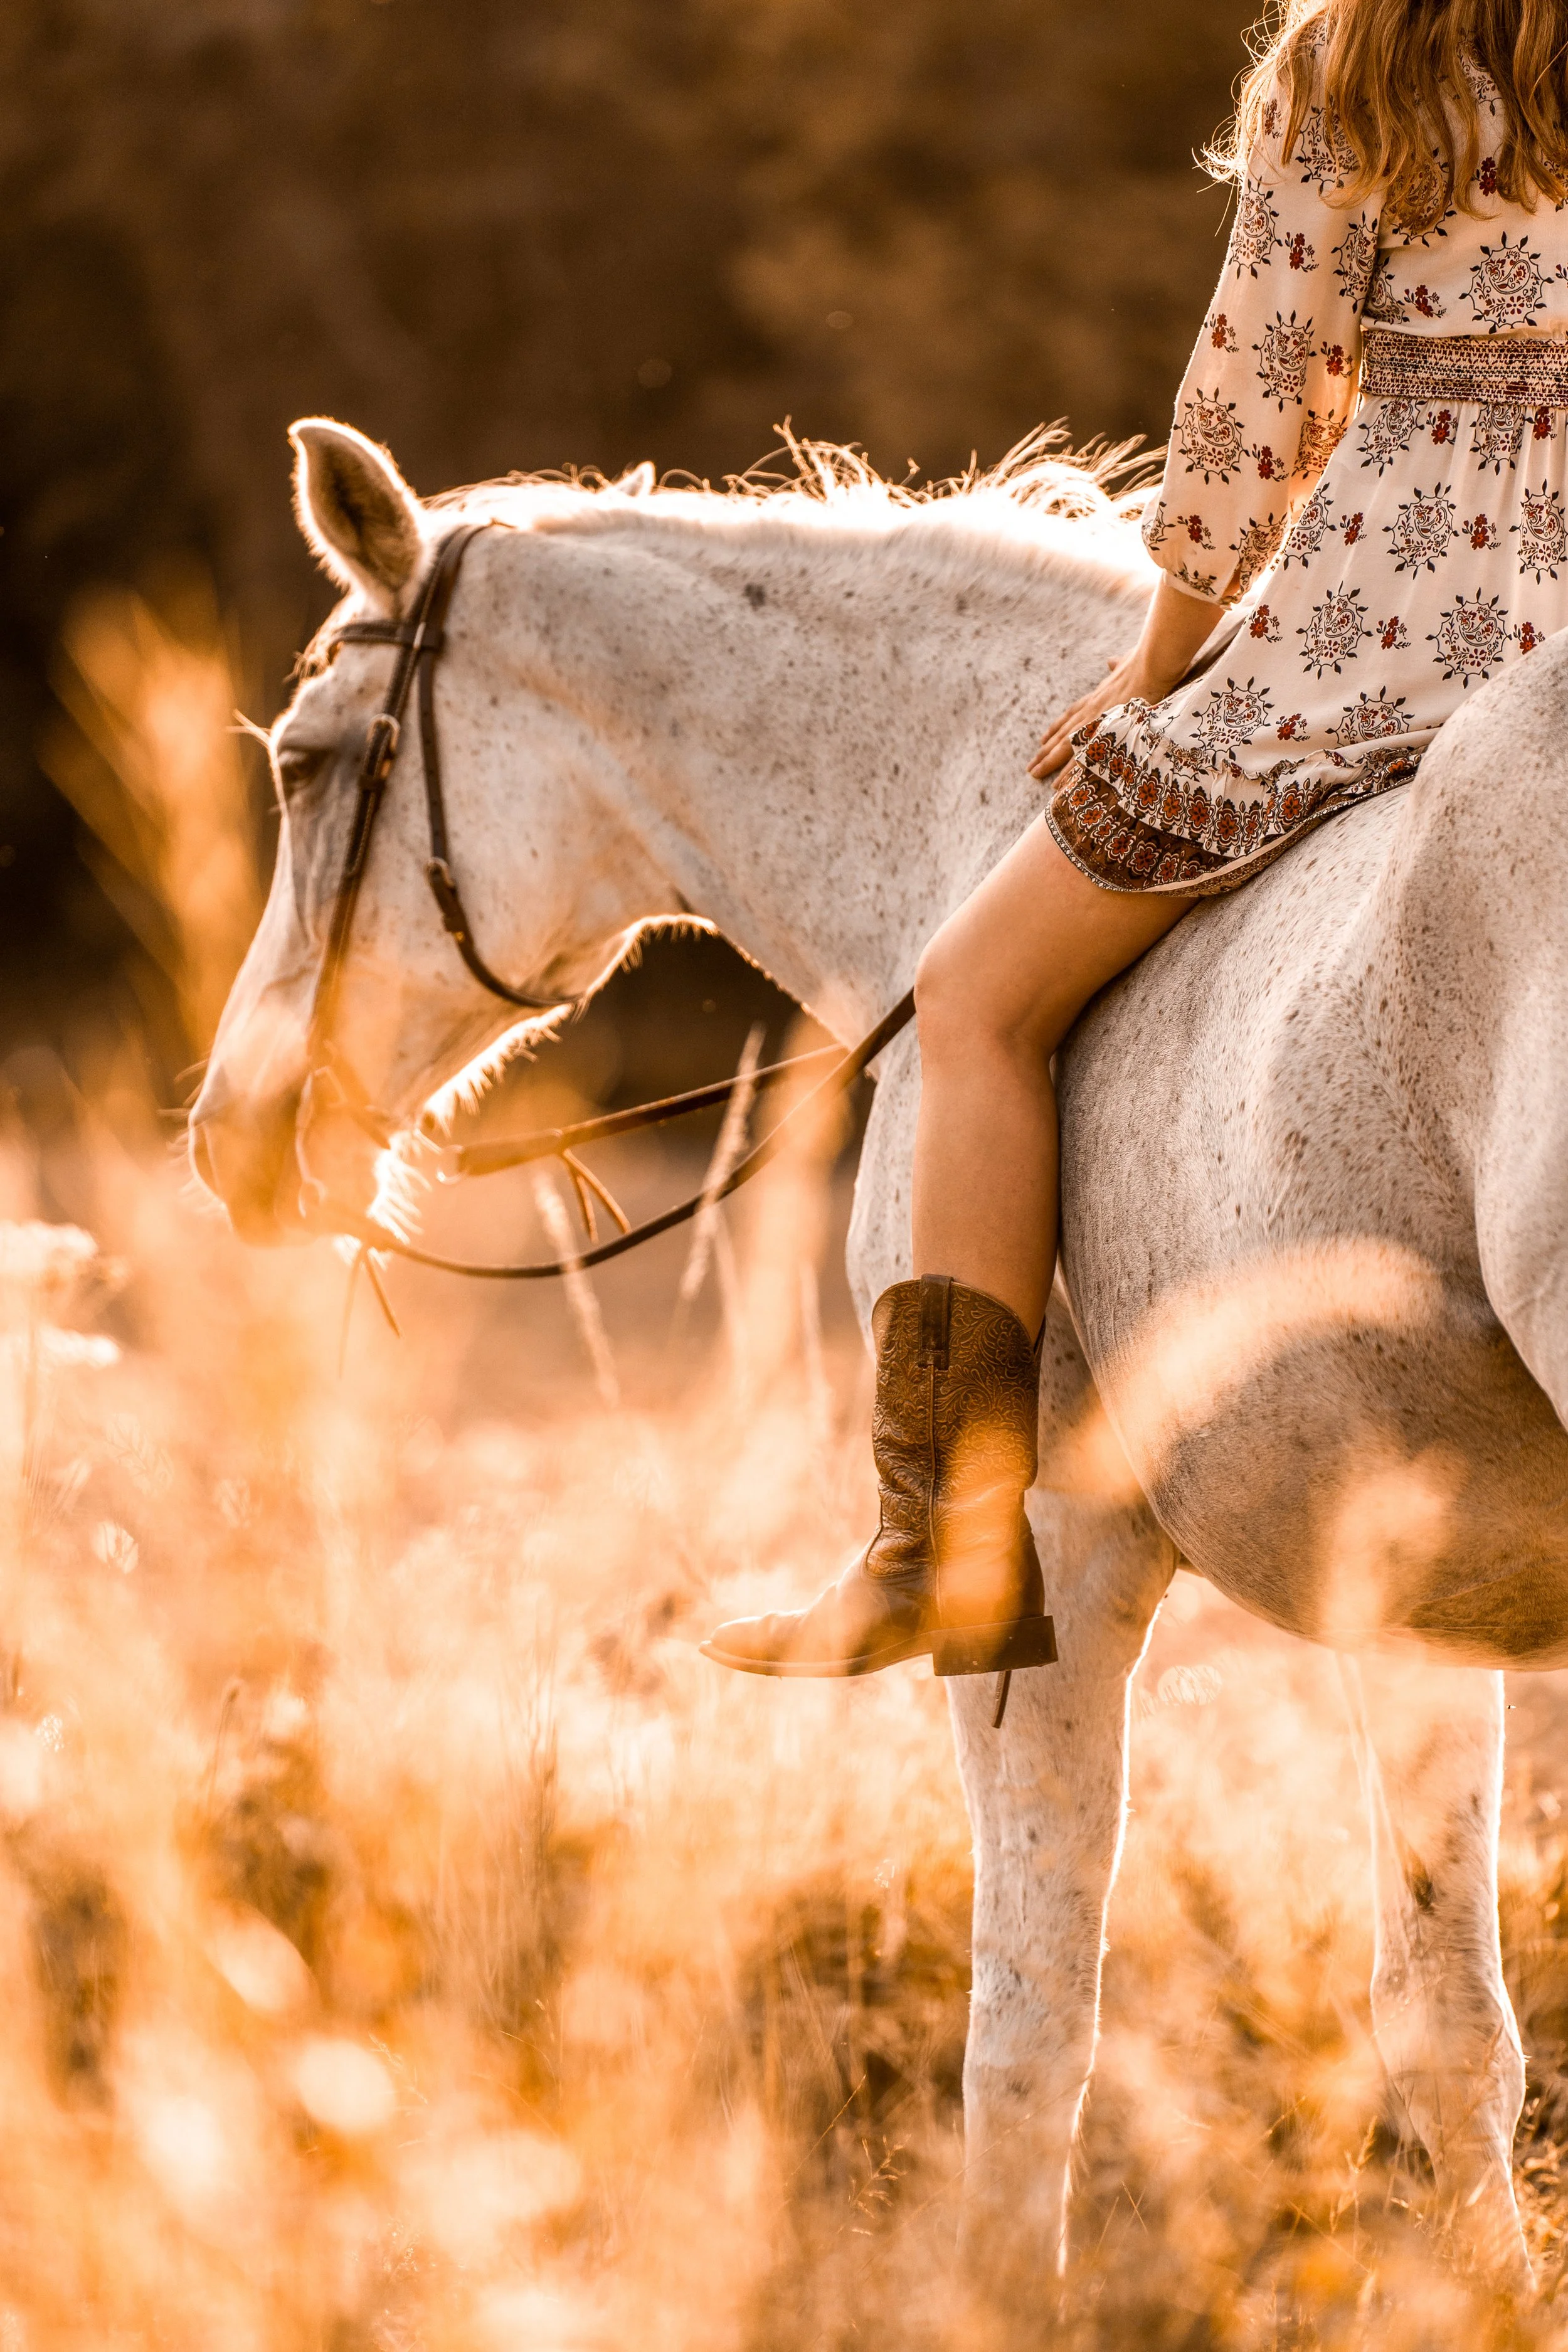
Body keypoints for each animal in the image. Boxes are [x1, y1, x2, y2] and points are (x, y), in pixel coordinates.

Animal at [191, 415, 1568, 2289]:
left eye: (310, 766)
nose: (232, 1139)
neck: (960, 808)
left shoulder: (1049, 1568)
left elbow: (1027, 2028)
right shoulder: (1409, 1587)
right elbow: (1447, 2026)